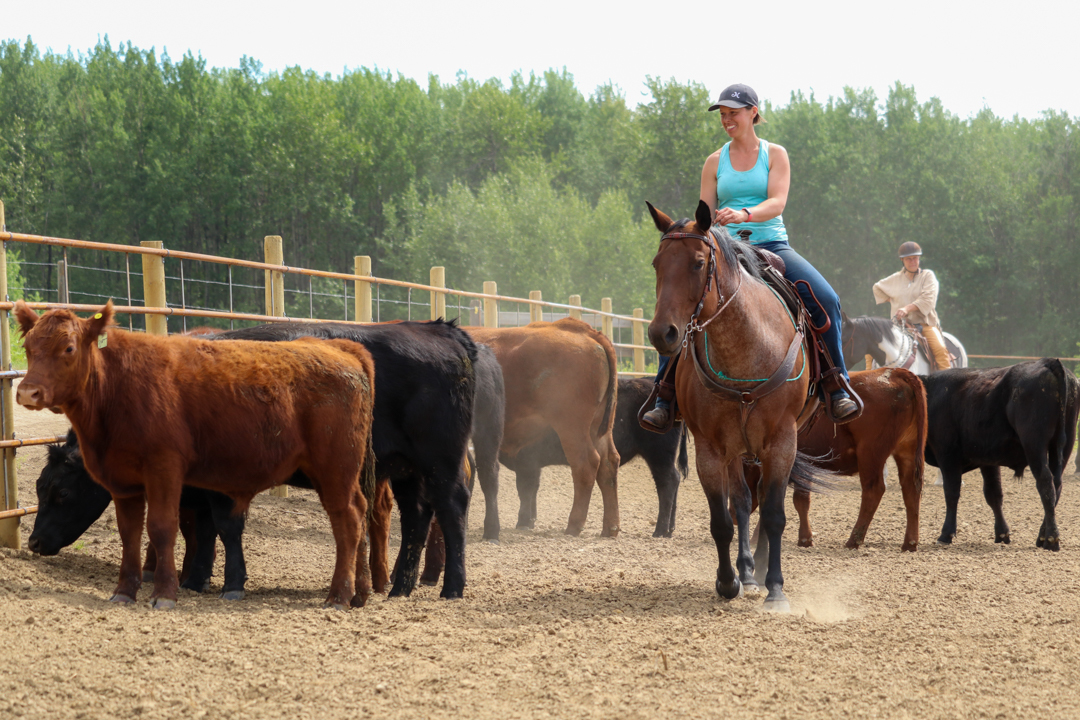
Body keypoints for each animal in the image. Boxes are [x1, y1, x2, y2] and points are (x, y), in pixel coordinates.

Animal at [15, 301, 376, 610]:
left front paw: (166, 593)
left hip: (335, 470)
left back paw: (339, 595)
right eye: (29, 348)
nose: (28, 392)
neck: (119, 387)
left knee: (347, 520)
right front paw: (125, 592)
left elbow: (164, 528)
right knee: (358, 516)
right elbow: (131, 533)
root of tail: (340, 349)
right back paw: (359, 592)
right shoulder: (124, 483)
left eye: (69, 348)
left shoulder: (165, 470)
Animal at [469, 318, 620, 538]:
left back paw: (574, 525)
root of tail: (584, 330)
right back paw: (610, 527)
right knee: (609, 464)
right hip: (599, 430)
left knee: (586, 464)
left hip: (572, 428)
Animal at [922, 359, 1080, 550]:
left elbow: (951, 492)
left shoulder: (947, 454)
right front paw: (1002, 533)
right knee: (1057, 485)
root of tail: (1048, 363)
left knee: (1045, 483)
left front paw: (946, 534)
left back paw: (1051, 538)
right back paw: (1043, 536)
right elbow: (993, 494)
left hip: (1034, 444)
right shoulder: (988, 460)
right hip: (1063, 444)